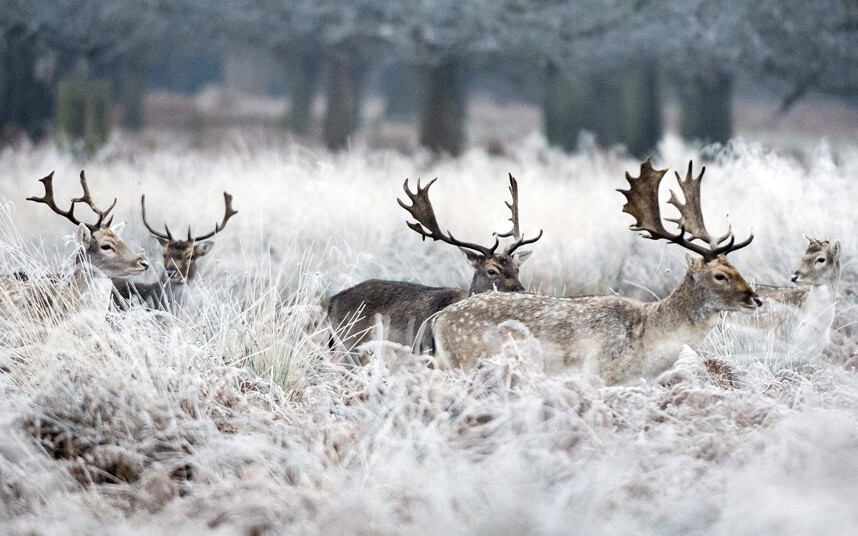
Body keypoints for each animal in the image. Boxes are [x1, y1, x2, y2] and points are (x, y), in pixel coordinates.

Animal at [432, 159, 760, 386]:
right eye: (719, 276)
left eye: (737, 268)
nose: (755, 299)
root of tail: (437, 320)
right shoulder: (598, 373)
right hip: (468, 360)